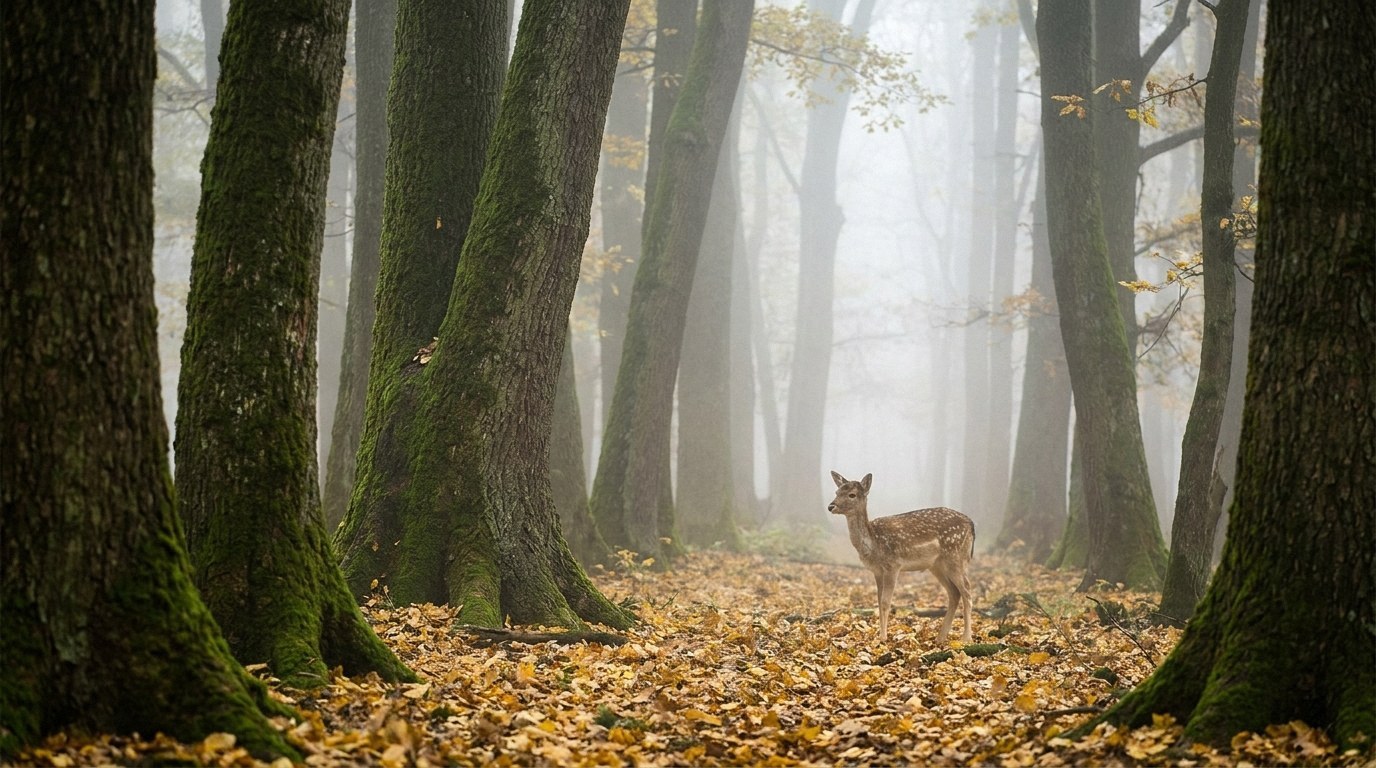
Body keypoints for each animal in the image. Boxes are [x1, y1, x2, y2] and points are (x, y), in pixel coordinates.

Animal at [828, 471, 975, 644]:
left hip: (956, 556)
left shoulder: (893, 565)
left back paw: (966, 638)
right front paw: (880, 635)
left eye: (852, 494)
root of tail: (971, 523)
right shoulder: (877, 571)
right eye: (837, 492)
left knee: (967, 590)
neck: (874, 543)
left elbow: (886, 602)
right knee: (954, 593)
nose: (831, 506)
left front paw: (883, 638)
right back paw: (940, 637)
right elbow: (879, 601)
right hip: (937, 565)